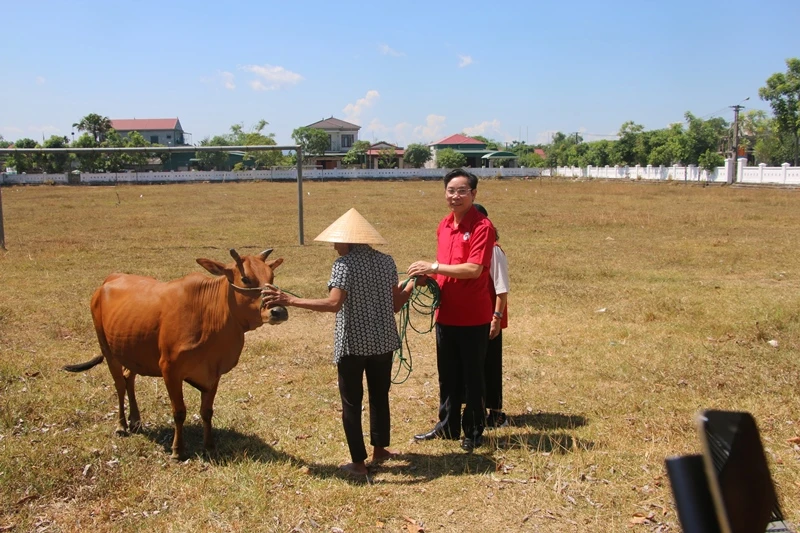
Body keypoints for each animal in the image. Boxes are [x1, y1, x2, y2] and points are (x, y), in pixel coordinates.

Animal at [63, 247, 288, 460]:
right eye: (245, 279)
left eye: (271, 277)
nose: (279, 311)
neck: (209, 314)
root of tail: (110, 279)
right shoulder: (170, 369)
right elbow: (179, 411)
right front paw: (178, 450)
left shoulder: (213, 373)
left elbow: (207, 412)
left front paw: (209, 447)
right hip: (108, 349)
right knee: (119, 384)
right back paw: (121, 426)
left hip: (132, 350)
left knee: (129, 379)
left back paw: (135, 421)